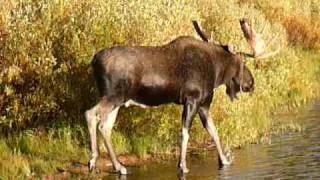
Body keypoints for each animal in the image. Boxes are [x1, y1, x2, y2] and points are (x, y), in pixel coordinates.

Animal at [85, 18, 280, 174]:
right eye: (244, 63)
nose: (251, 83)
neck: (216, 72)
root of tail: (94, 60)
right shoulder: (192, 99)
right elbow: (185, 133)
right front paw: (182, 165)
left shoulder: (204, 104)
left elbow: (213, 131)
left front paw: (224, 160)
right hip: (113, 96)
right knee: (92, 115)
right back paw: (95, 159)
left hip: (118, 101)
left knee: (106, 126)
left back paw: (117, 166)